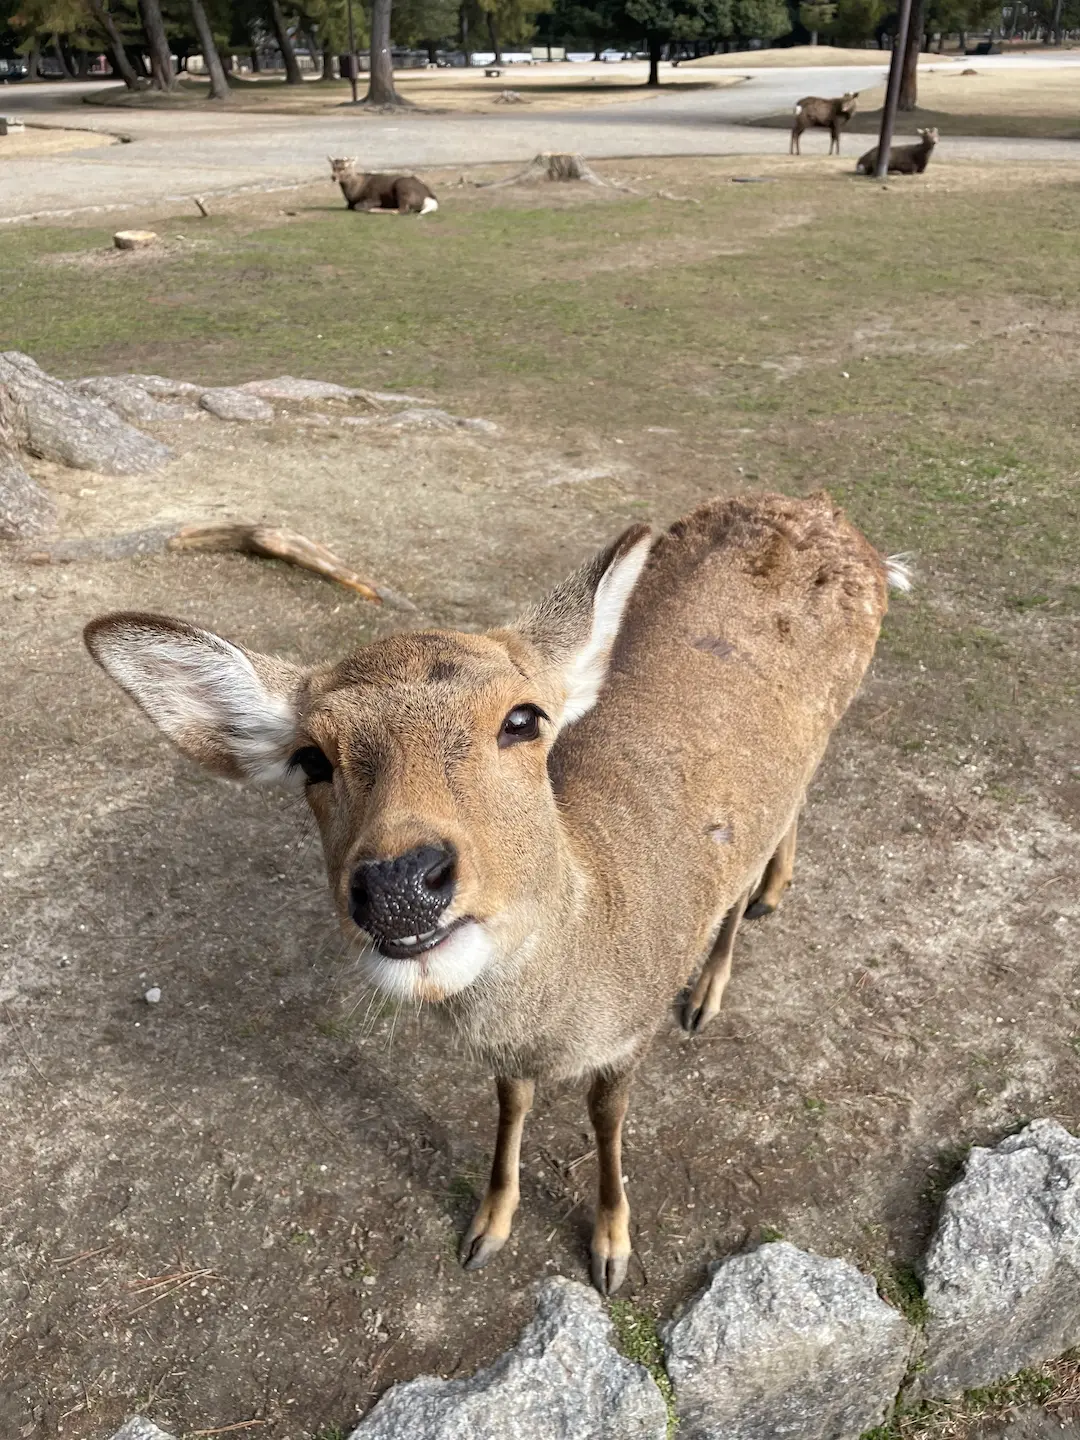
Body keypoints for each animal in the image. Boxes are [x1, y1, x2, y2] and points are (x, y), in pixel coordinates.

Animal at [86, 492, 915, 1296]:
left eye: (523, 718)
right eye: (311, 758)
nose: (398, 886)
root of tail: (837, 519)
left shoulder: (633, 1028)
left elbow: (607, 1118)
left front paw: (612, 1249)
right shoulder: (512, 1056)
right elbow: (510, 1101)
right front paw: (488, 1225)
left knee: (763, 850)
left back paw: (715, 980)